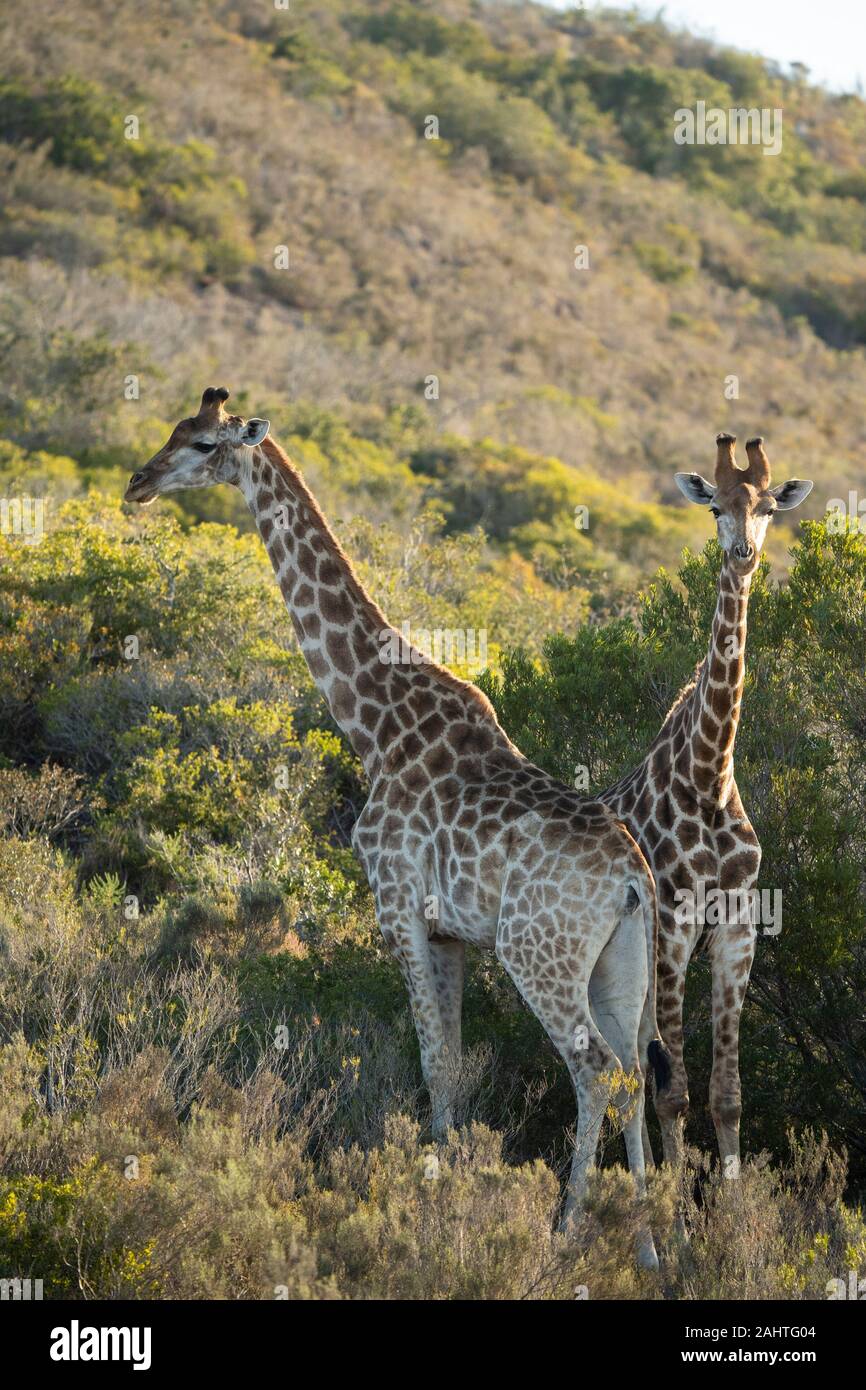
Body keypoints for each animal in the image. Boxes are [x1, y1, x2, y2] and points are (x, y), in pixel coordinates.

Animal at [125, 386, 675, 1267]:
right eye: (174, 429)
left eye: (205, 444)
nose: (138, 483)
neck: (370, 724)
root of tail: (632, 877)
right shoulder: (449, 932)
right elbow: (448, 1063)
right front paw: (447, 1187)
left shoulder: (400, 911)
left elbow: (435, 1064)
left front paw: (436, 1201)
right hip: (620, 965)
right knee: (632, 1071)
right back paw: (651, 1249)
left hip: (539, 954)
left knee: (595, 1068)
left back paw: (565, 1230)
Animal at [594, 433, 811, 1173]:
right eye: (715, 505)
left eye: (769, 507)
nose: (742, 554)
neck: (711, 776)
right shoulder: (673, 929)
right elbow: (674, 1095)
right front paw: (675, 1203)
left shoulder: (738, 927)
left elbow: (726, 1097)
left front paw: (733, 1205)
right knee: (623, 1076)